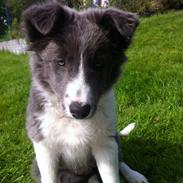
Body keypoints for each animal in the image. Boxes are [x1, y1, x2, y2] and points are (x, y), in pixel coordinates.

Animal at [23, 2, 148, 183]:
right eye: (60, 62)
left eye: (98, 63)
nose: (79, 110)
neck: (73, 122)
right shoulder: (45, 147)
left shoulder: (105, 144)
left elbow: (112, 176)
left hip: (113, 141)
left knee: (121, 161)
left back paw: (134, 175)